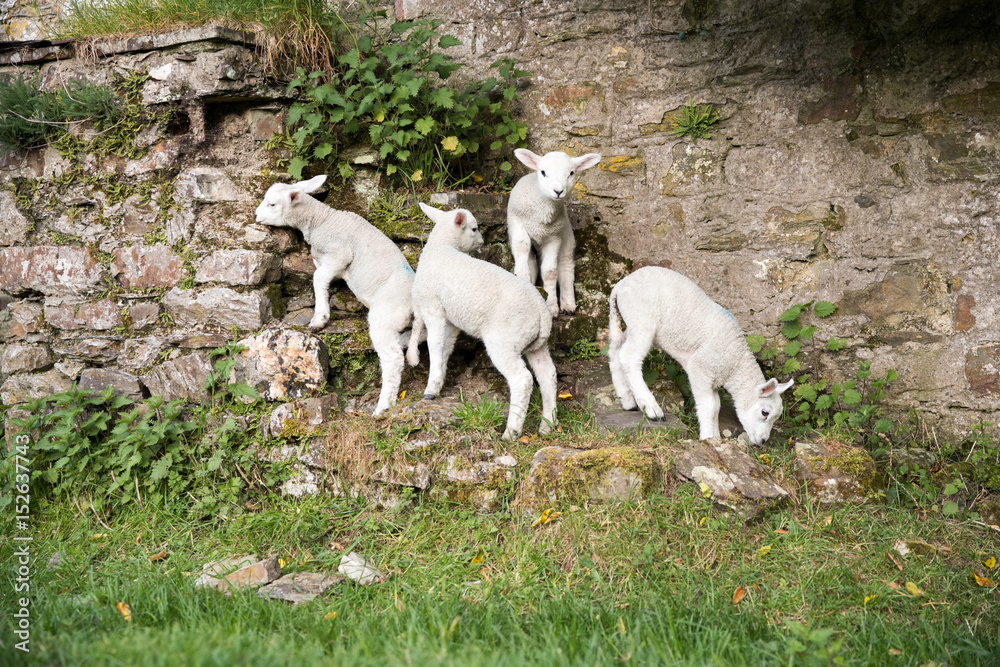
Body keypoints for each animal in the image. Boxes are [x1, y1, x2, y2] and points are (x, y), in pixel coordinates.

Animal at [254, 175, 424, 417]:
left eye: (272, 204)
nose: (256, 215)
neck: (322, 219)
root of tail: (415, 303)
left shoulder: (339, 255)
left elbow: (318, 278)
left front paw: (319, 319)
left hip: (384, 318)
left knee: (393, 360)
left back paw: (382, 407)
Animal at [413, 202, 558, 440]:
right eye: (474, 229)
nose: (482, 241)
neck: (442, 247)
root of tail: (542, 313)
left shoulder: (432, 307)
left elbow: (434, 344)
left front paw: (430, 388)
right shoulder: (451, 318)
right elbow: (446, 346)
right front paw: (439, 381)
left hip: (505, 340)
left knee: (523, 380)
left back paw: (512, 431)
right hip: (535, 343)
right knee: (548, 375)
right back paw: (548, 425)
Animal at [506, 149, 601, 317]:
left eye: (571, 173)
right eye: (543, 172)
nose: (558, 191)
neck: (541, 218)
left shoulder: (554, 237)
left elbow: (550, 272)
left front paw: (551, 307)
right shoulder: (516, 221)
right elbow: (522, 246)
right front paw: (523, 278)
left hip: (567, 237)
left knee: (565, 267)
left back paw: (568, 305)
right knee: (532, 260)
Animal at [607, 266, 793, 446]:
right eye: (765, 412)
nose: (762, 442)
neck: (735, 363)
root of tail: (620, 285)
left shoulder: (714, 379)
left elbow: (716, 407)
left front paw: (715, 437)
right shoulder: (700, 369)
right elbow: (709, 407)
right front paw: (707, 437)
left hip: (632, 323)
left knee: (615, 352)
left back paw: (627, 400)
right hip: (642, 318)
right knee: (628, 357)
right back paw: (651, 409)